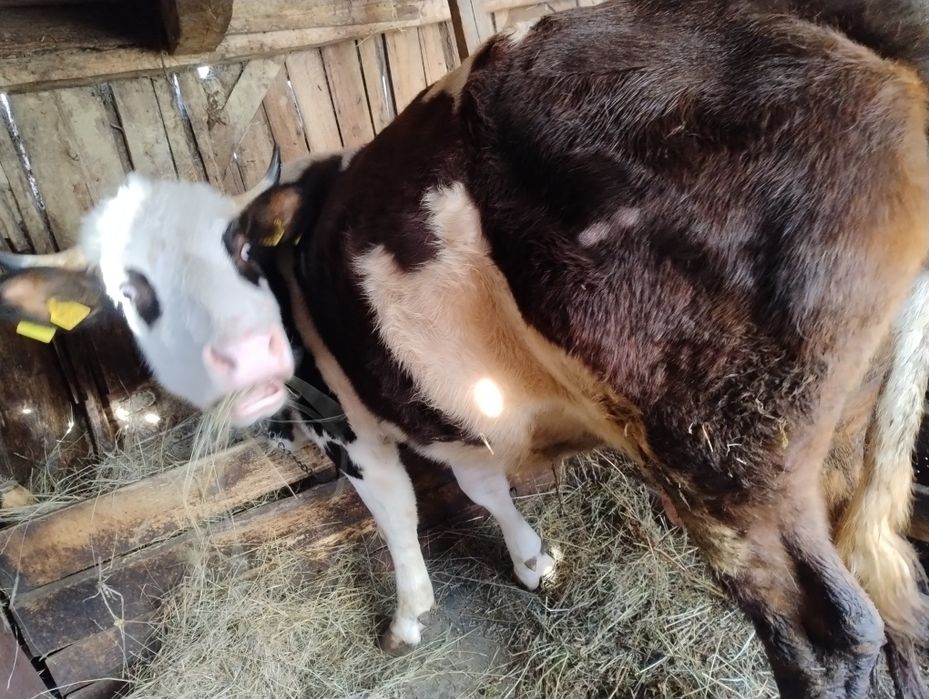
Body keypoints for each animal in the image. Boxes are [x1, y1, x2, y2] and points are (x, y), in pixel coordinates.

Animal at [3, 1, 929, 696]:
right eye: (128, 291)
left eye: (233, 253)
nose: (235, 361)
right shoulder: (447, 403)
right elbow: (482, 483)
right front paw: (534, 560)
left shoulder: (346, 420)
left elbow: (396, 511)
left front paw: (409, 615)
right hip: (846, 435)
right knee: (896, 603)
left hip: (723, 452)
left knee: (831, 634)